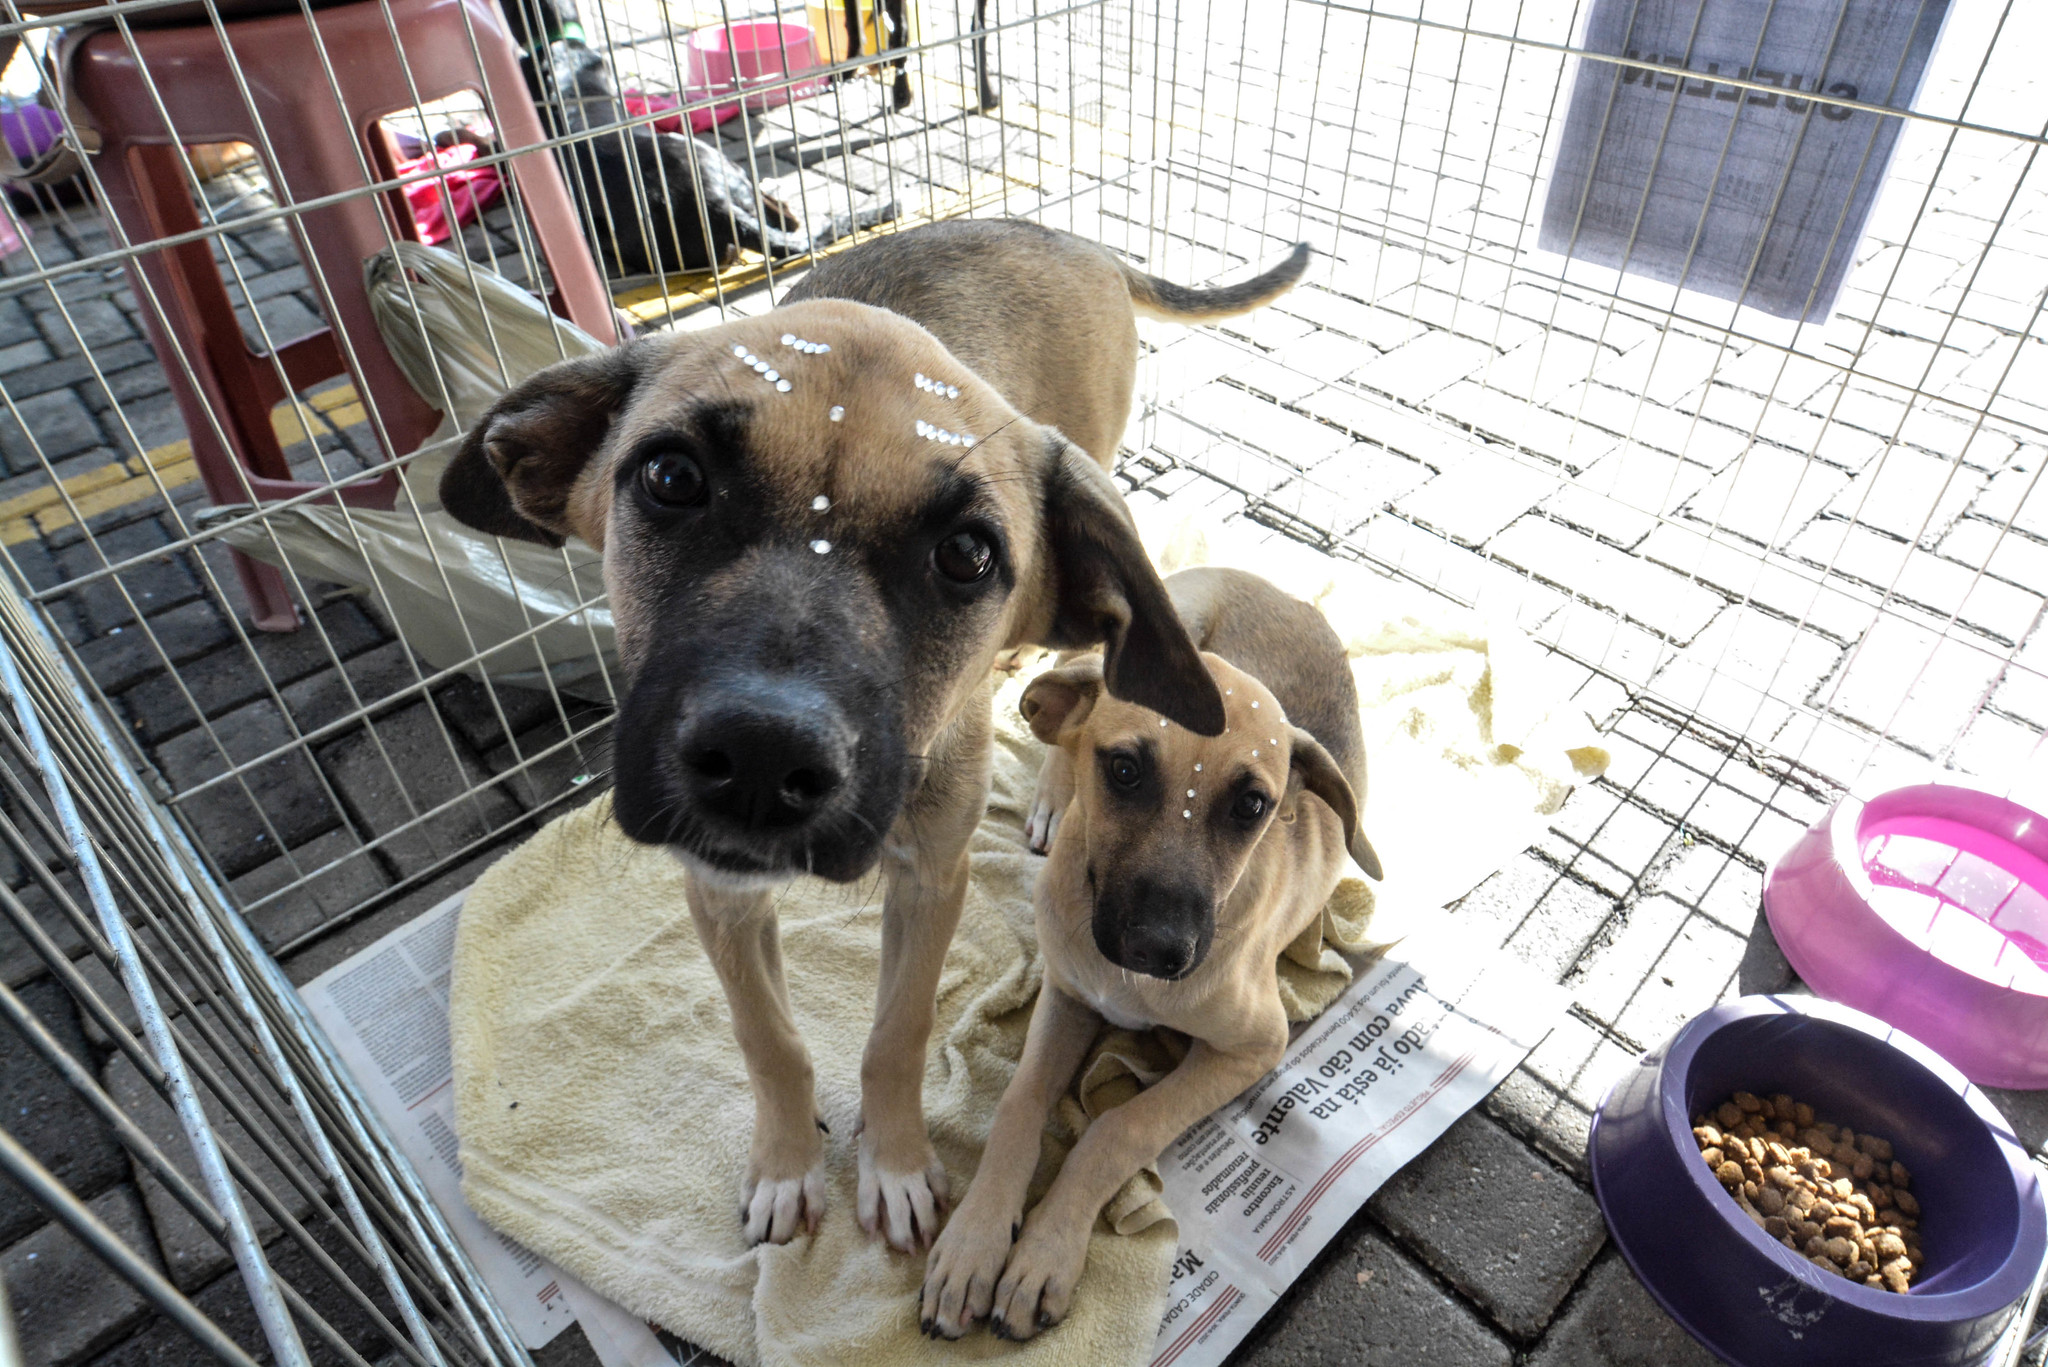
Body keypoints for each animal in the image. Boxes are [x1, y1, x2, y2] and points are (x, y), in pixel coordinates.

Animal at [440, 216, 1318, 1254]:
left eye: (968, 553)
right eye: (671, 477)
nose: (762, 758)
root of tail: (1065, 235)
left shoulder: (933, 877)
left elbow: (896, 1037)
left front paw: (893, 1164)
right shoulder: (718, 889)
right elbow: (769, 1040)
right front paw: (787, 1164)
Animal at [925, 565, 1376, 1336]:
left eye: (1253, 806)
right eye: (1126, 770)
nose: (1157, 948)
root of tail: (1277, 588)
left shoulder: (1254, 1046)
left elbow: (1119, 1126)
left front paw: (1044, 1250)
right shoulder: (1067, 993)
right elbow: (1017, 1103)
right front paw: (973, 1243)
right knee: (1060, 717)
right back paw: (1053, 795)